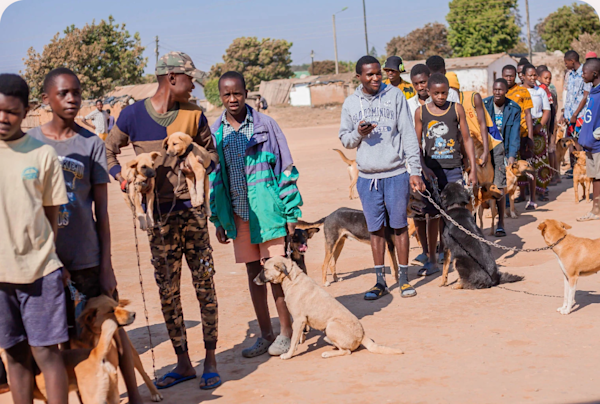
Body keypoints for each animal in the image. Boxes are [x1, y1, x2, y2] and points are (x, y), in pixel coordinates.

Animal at [253, 258, 404, 358]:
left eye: (264, 269)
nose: (254, 281)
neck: (293, 278)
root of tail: (362, 335)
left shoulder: (299, 319)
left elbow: (294, 340)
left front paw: (289, 354)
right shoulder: (299, 321)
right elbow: (298, 336)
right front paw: (301, 340)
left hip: (331, 325)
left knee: (347, 351)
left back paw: (328, 353)